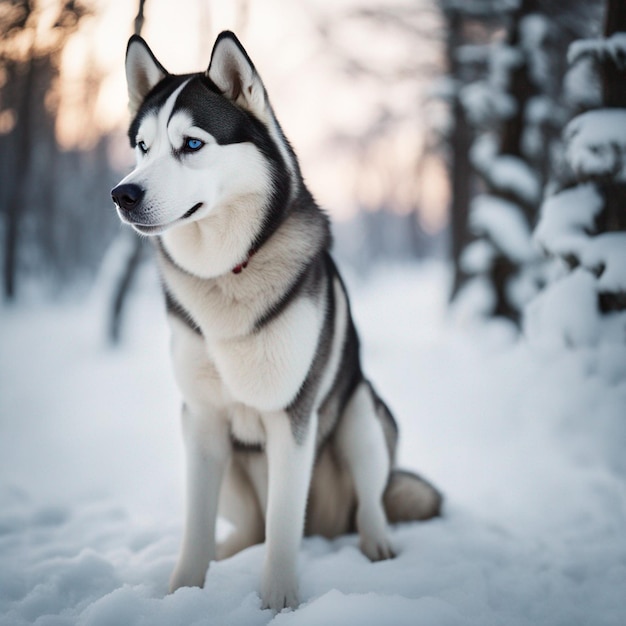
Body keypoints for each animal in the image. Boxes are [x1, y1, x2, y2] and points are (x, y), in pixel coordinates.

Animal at [111, 31, 438, 612]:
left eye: (191, 144)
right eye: (142, 147)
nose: (123, 194)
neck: (226, 274)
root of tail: (327, 526)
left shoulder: (291, 417)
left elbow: (284, 524)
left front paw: (280, 599)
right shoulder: (201, 419)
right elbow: (196, 525)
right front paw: (184, 589)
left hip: (362, 415)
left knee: (367, 501)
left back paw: (377, 542)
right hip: (227, 469)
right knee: (250, 526)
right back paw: (229, 551)